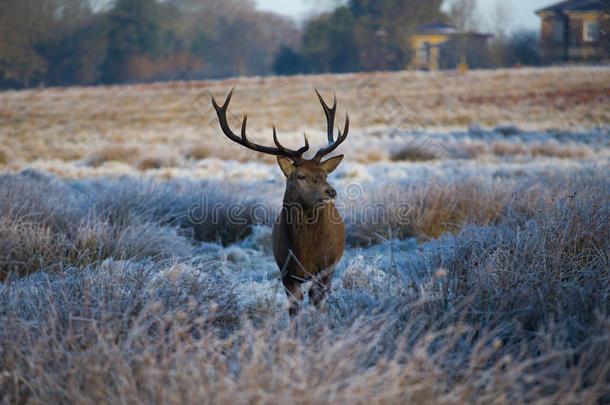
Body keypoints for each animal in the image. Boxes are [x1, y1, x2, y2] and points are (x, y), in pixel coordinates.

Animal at [213, 88, 346, 314]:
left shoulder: (325, 270)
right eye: (301, 176)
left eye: (325, 174)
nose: (331, 191)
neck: (305, 253)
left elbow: (320, 308)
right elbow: (294, 311)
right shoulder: (286, 272)